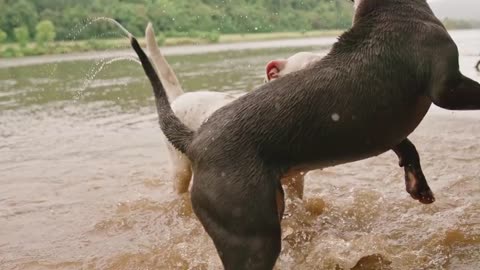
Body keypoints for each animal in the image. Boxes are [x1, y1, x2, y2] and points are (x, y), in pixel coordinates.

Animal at [129, 0, 480, 268]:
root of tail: (194, 138)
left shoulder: (382, 128)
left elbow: (407, 147)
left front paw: (418, 185)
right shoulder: (446, 87)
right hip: (248, 232)